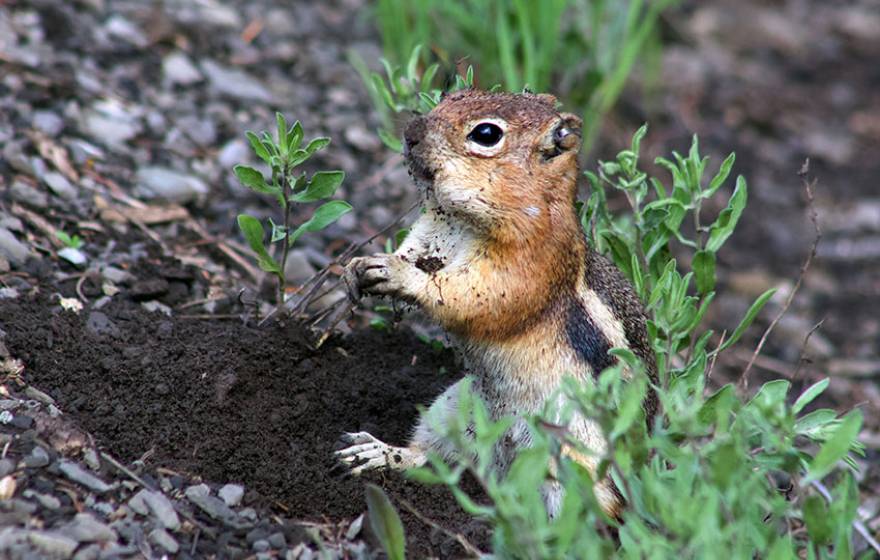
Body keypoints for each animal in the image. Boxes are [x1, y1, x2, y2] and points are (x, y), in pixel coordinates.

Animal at [337, 89, 657, 519]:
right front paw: (361, 266)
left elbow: (472, 297)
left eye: (486, 134)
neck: (463, 220)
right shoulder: (428, 233)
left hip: (571, 471)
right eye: (451, 96)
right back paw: (378, 453)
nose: (410, 132)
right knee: (432, 458)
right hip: (453, 409)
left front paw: (400, 276)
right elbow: (410, 251)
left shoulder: (524, 266)